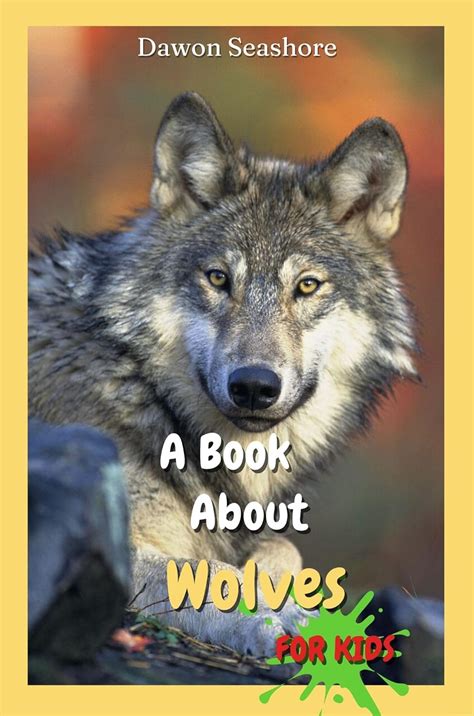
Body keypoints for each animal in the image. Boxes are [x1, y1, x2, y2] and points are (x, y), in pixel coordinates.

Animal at [29, 92, 417, 656]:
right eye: (218, 278)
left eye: (306, 286)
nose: (254, 385)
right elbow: (207, 573)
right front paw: (276, 618)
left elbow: (283, 549)